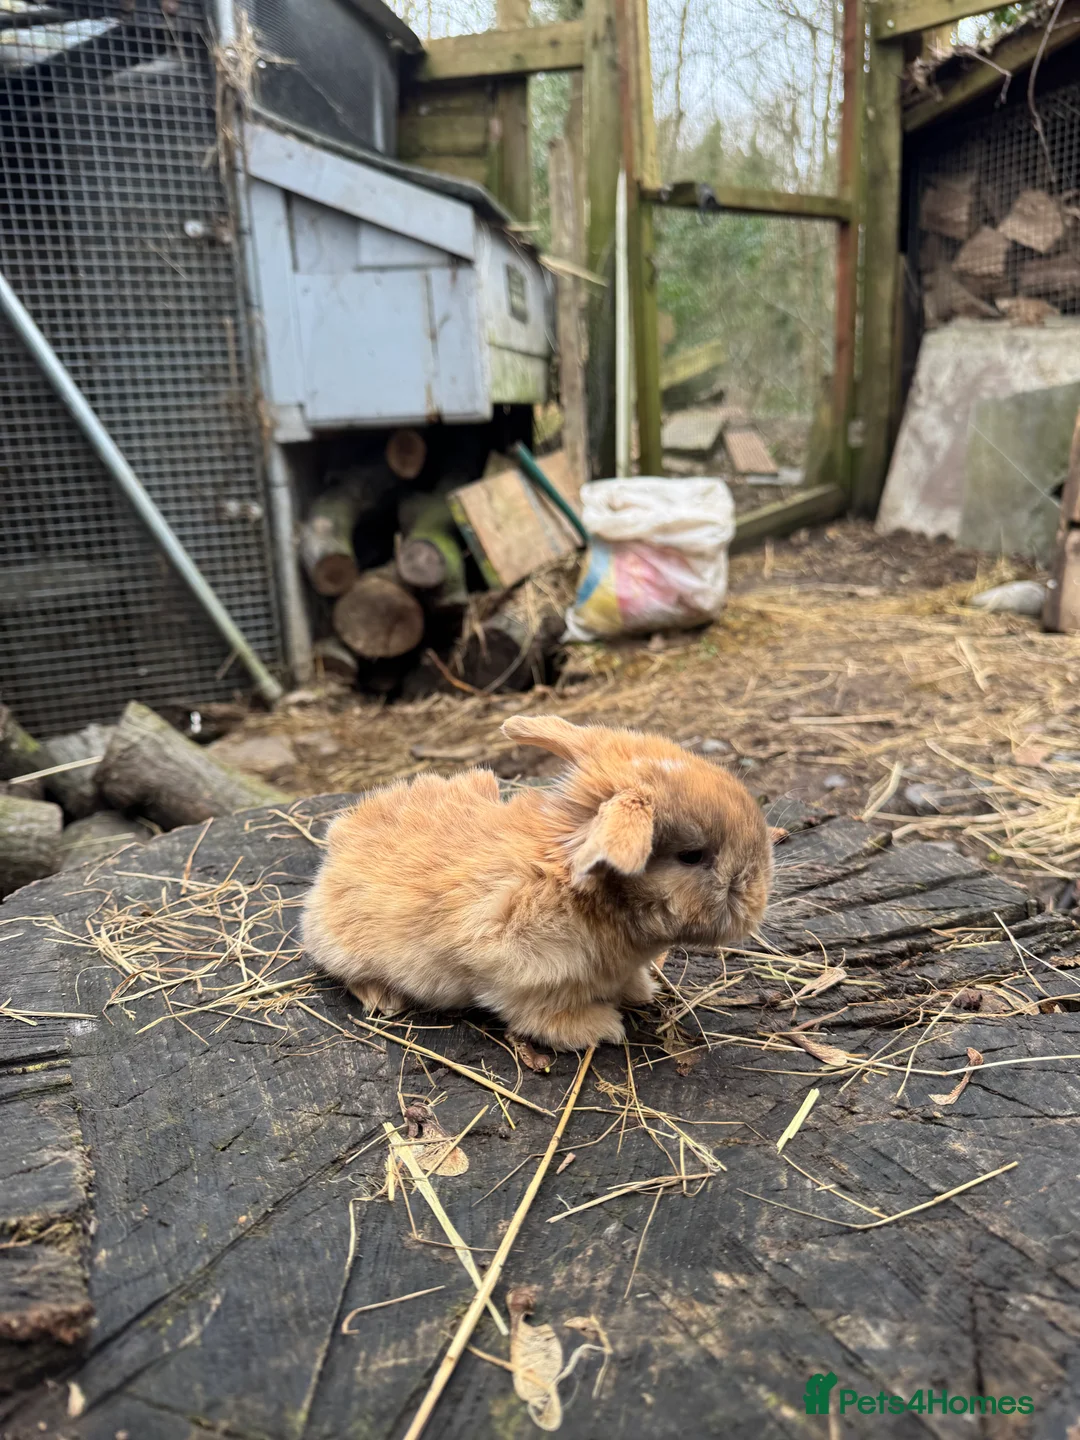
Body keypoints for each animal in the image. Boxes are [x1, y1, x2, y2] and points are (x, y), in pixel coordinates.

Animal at [301, 714, 775, 1052]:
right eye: (692, 855)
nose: (757, 896)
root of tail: (337, 842)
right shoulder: (518, 971)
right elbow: (541, 1015)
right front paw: (601, 1028)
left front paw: (642, 991)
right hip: (345, 949)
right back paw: (385, 1000)